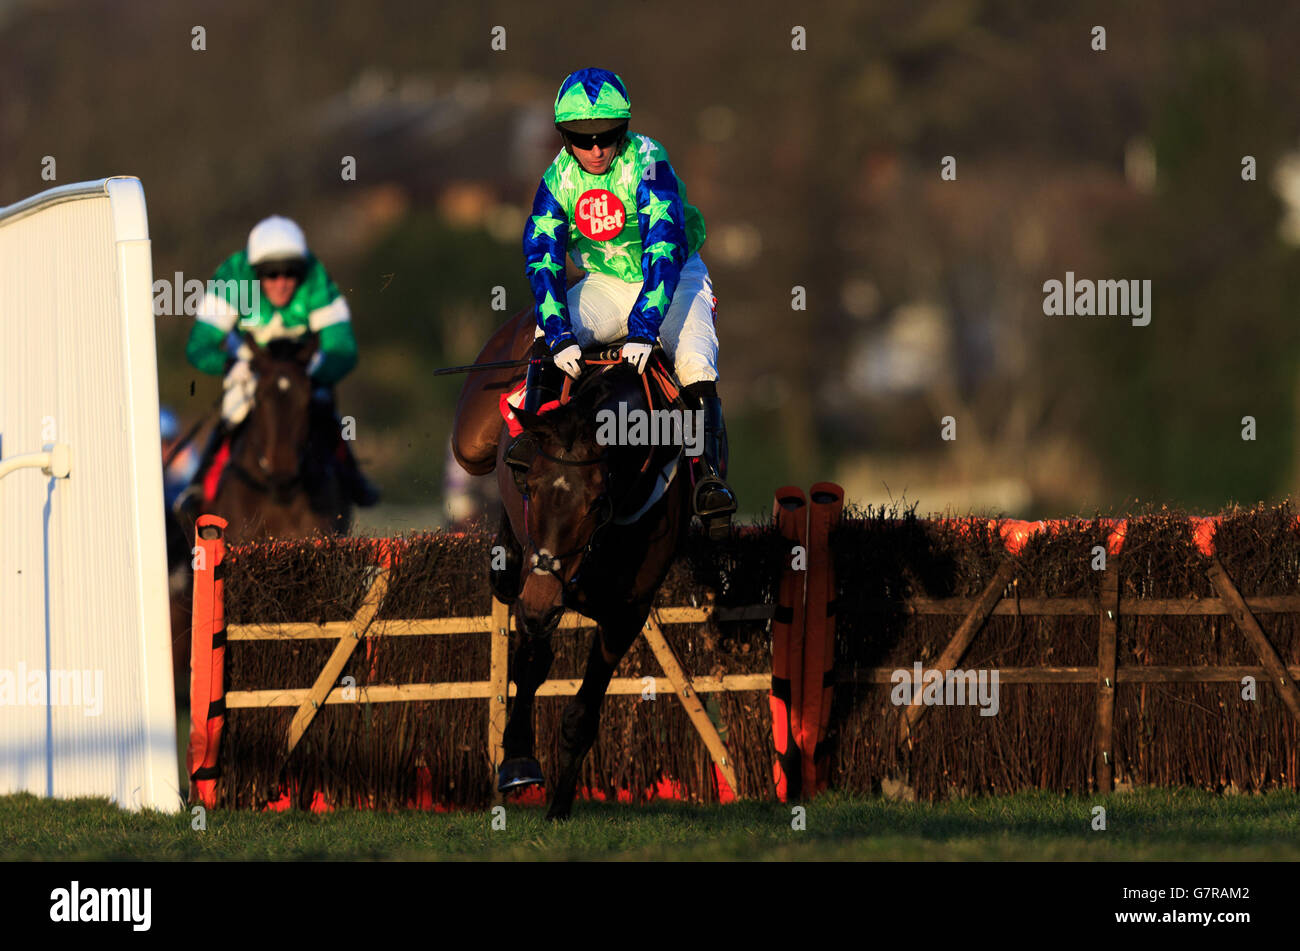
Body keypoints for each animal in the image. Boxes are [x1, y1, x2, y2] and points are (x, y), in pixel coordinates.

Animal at [452, 307, 691, 821]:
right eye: (529, 481)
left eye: (598, 502)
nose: (542, 604)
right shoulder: (538, 582)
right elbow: (531, 664)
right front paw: (518, 761)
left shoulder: (627, 611)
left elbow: (583, 711)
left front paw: (560, 803)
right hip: (472, 443)